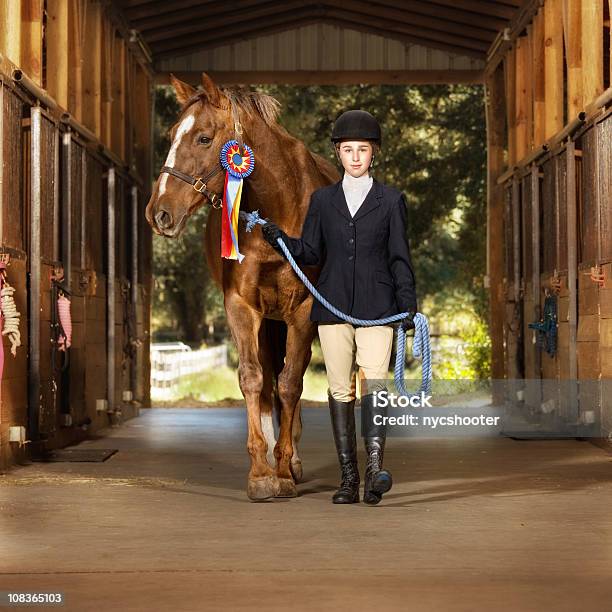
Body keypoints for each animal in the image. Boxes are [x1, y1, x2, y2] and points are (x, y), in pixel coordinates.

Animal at [146, 73, 342, 502]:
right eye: (170, 134)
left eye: (203, 138)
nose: (159, 212)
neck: (280, 213)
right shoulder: (241, 306)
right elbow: (253, 379)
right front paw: (262, 472)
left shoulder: (303, 310)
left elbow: (291, 383)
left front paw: (283, 470)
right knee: (269, 379)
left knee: (289, 379)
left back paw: (292, 460)